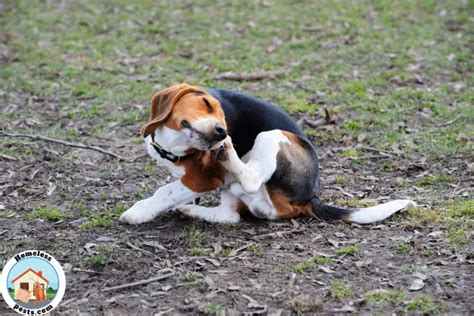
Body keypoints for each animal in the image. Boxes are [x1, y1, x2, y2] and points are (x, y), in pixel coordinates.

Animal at [119, 82, 414, 223]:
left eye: (225, 120)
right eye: (205, 103)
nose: (222, 132)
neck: (173, 144)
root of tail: (311, 196)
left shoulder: (203, 178)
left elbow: (165, 192)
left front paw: (139, 212)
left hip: (271, 136)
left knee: (251, 183)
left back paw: (228, 154)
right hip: (234, 191)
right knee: (231, 216)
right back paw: (193, 210)